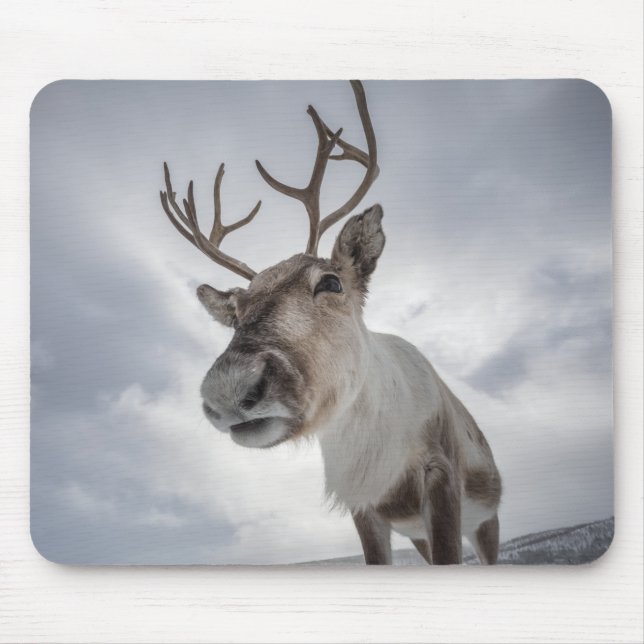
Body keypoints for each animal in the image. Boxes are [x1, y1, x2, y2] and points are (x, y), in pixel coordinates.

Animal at [159, 81, 502, 565]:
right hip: (416, 533)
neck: (376, 446)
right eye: (236, 313)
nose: (229, 388)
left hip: (487, 518)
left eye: (332, 282)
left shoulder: (442, 476)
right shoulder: (365, 505)